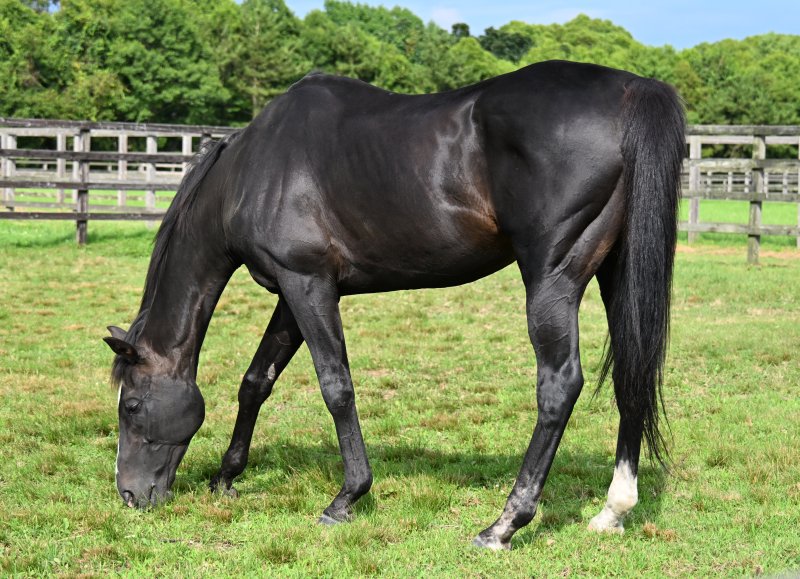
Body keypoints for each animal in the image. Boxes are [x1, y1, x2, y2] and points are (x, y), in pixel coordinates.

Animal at [104, 60, 685, 550]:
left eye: (130, 405)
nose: (129, 496)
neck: (252, 170)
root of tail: (632, 91)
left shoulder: (307, 284)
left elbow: (336, 386)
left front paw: (346, 498)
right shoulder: (293, 293)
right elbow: (256, 381)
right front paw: (227, 475)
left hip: (551, 279)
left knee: (559, 386)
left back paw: (503, 524)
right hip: (618, 273)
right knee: (631, 373)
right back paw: (613, 510)